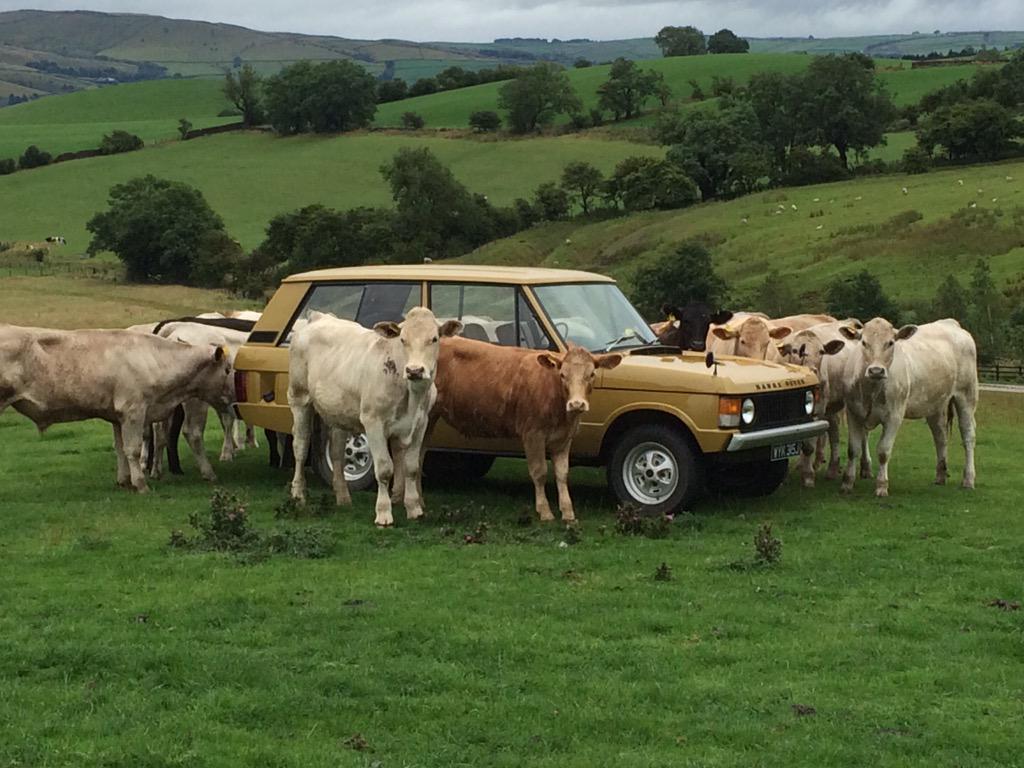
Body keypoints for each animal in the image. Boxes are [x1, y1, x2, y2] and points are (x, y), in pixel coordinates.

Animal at [1, 325, 230, 493]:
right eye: (228, 370)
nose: (232, 396)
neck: (154, 359)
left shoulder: (117, 417)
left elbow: (119, 448)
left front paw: (124, 480)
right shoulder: (133, 411)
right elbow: (133, 449)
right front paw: (141, 484)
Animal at [288, 309, 464, 528]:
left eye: (434, 339)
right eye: (402, 339)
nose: (414, 370)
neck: (411, 395)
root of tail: (319, 317)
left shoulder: (420, 424)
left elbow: (412, 467)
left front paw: (414, 509)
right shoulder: (373, 422)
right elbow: (384, 469)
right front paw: (383, 514)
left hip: (339, 413)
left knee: (337, 452)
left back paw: (343, 497)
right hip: (299, 398)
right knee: (301, 447)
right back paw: (298, 494)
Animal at [428, 335, 618, 524]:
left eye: (591, 374)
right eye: (563, 374)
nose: (577, 404)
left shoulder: (564, 438)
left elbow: (562, 474)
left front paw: (568, 512)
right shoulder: (533, 434)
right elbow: (539, 472)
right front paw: (545, 511)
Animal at [839, 319, 974, 499]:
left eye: (890, 343)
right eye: (863, 342)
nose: (876, 370)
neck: (871, 390)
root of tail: (950, 323)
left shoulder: (894, 416)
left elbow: (883, 451)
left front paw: (882, 486)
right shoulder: (853, 413)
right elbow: (853, 449)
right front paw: (847, 483)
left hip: (967, 396)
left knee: (968, 436)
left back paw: (968, 479)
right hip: (935, 405)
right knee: (940, 437)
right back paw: (940, 475)